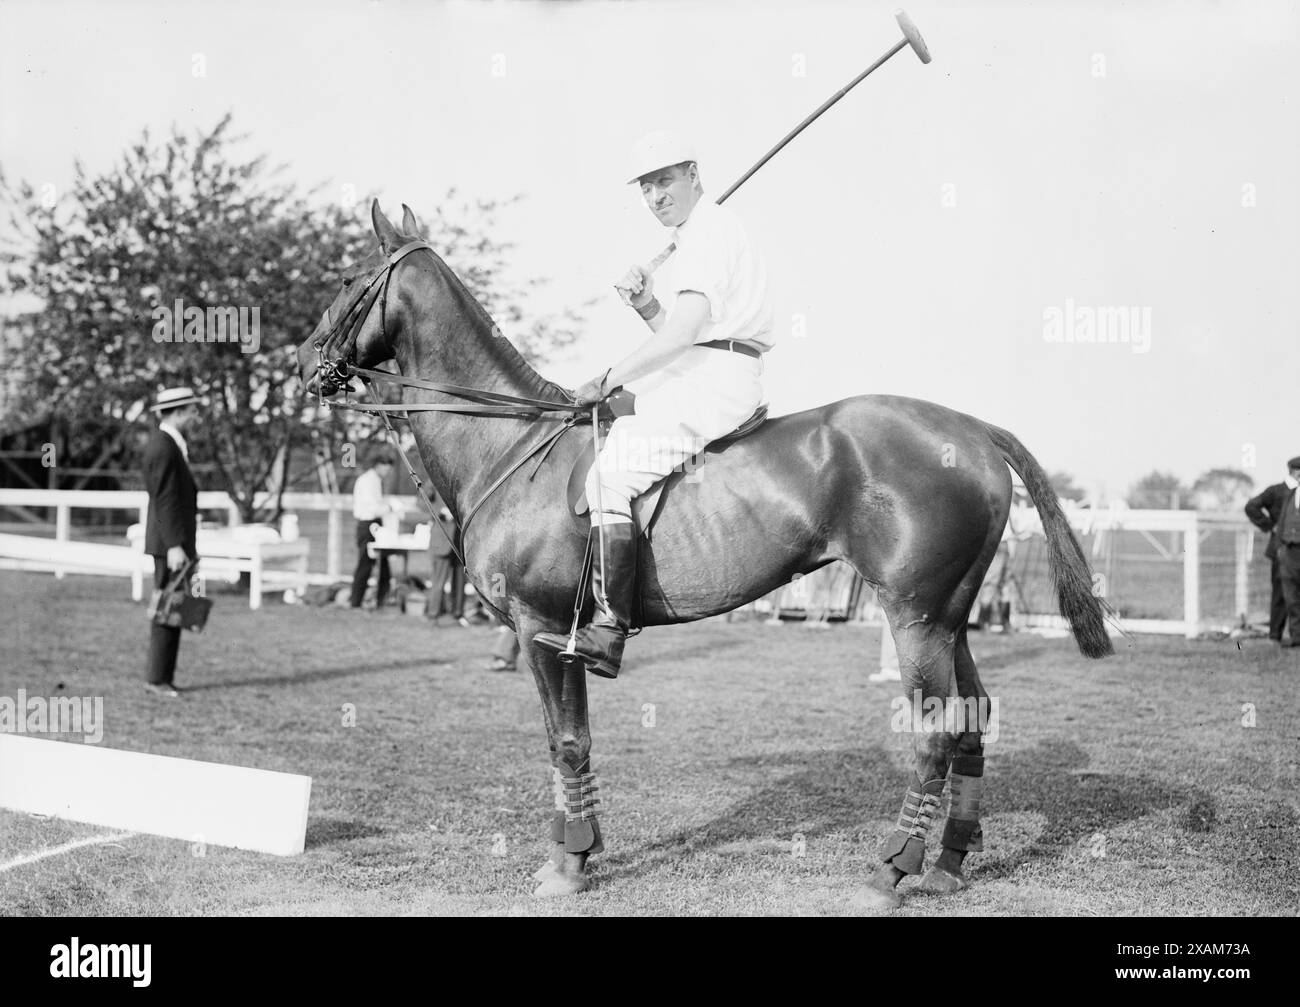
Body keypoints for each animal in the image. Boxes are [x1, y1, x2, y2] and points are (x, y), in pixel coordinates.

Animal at [299, 201, 1112, 909]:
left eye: (346, 279)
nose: (304, 362)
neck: (512, 445)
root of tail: (974, 429)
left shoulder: (542, 629)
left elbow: (567, 742)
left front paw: (569, 863)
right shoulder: (550, 635)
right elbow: (569, 742)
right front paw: (575, 853)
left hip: (913, 614)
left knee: (935, 734)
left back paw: (890, 872)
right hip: (951, 616)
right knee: (974, 718)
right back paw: (946, 864)